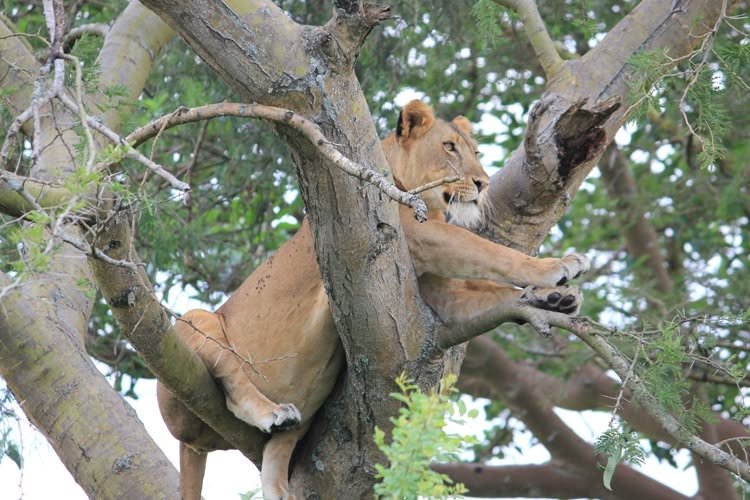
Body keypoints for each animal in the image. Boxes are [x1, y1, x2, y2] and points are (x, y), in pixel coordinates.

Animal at [157, 100, 589, 499]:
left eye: (475, 151)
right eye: (449, 147)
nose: (483, 183)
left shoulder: (435, 291)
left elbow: (490, 289)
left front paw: (553, 299)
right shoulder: (422, 237)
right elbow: (492, 254)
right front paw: (557, 266)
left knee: (276, 460)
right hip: (193, 324)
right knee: (229, 378)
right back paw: (271, 412)